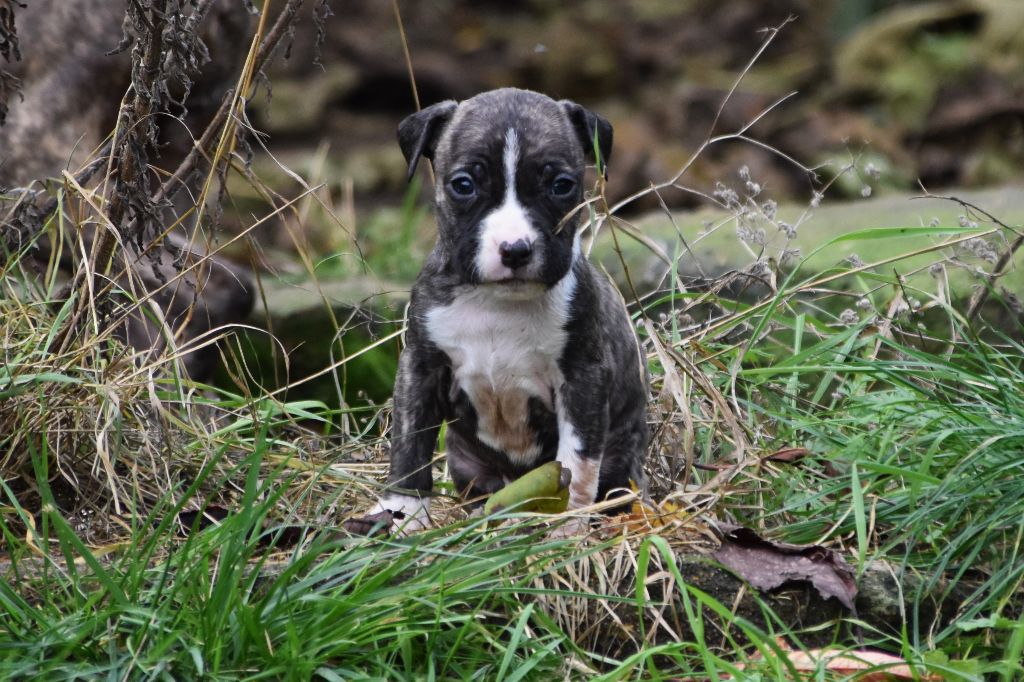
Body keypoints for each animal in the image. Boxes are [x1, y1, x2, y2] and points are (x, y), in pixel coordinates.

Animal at [370, 86, 647, 532]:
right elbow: (410, 445)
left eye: (562, 185)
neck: (496, 303)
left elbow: (576, 462)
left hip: (622, 462)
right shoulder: (420, 368)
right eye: (464, 184)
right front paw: (404, 512)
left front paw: (567, 526)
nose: (515, 249)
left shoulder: (583, 380)